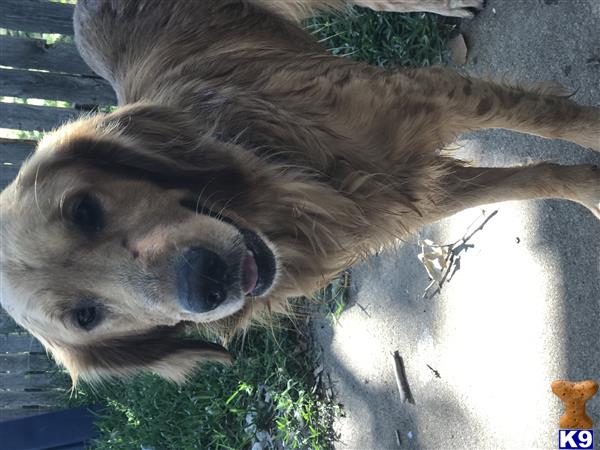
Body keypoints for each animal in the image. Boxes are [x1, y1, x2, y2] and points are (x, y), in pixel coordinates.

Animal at [1, 0, 600, 384]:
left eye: (84, 209)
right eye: (86, 317)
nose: (206, 284)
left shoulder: (429, 96)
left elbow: (557, 122)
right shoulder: (412, 193)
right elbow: (536, 176)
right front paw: (589, 188)